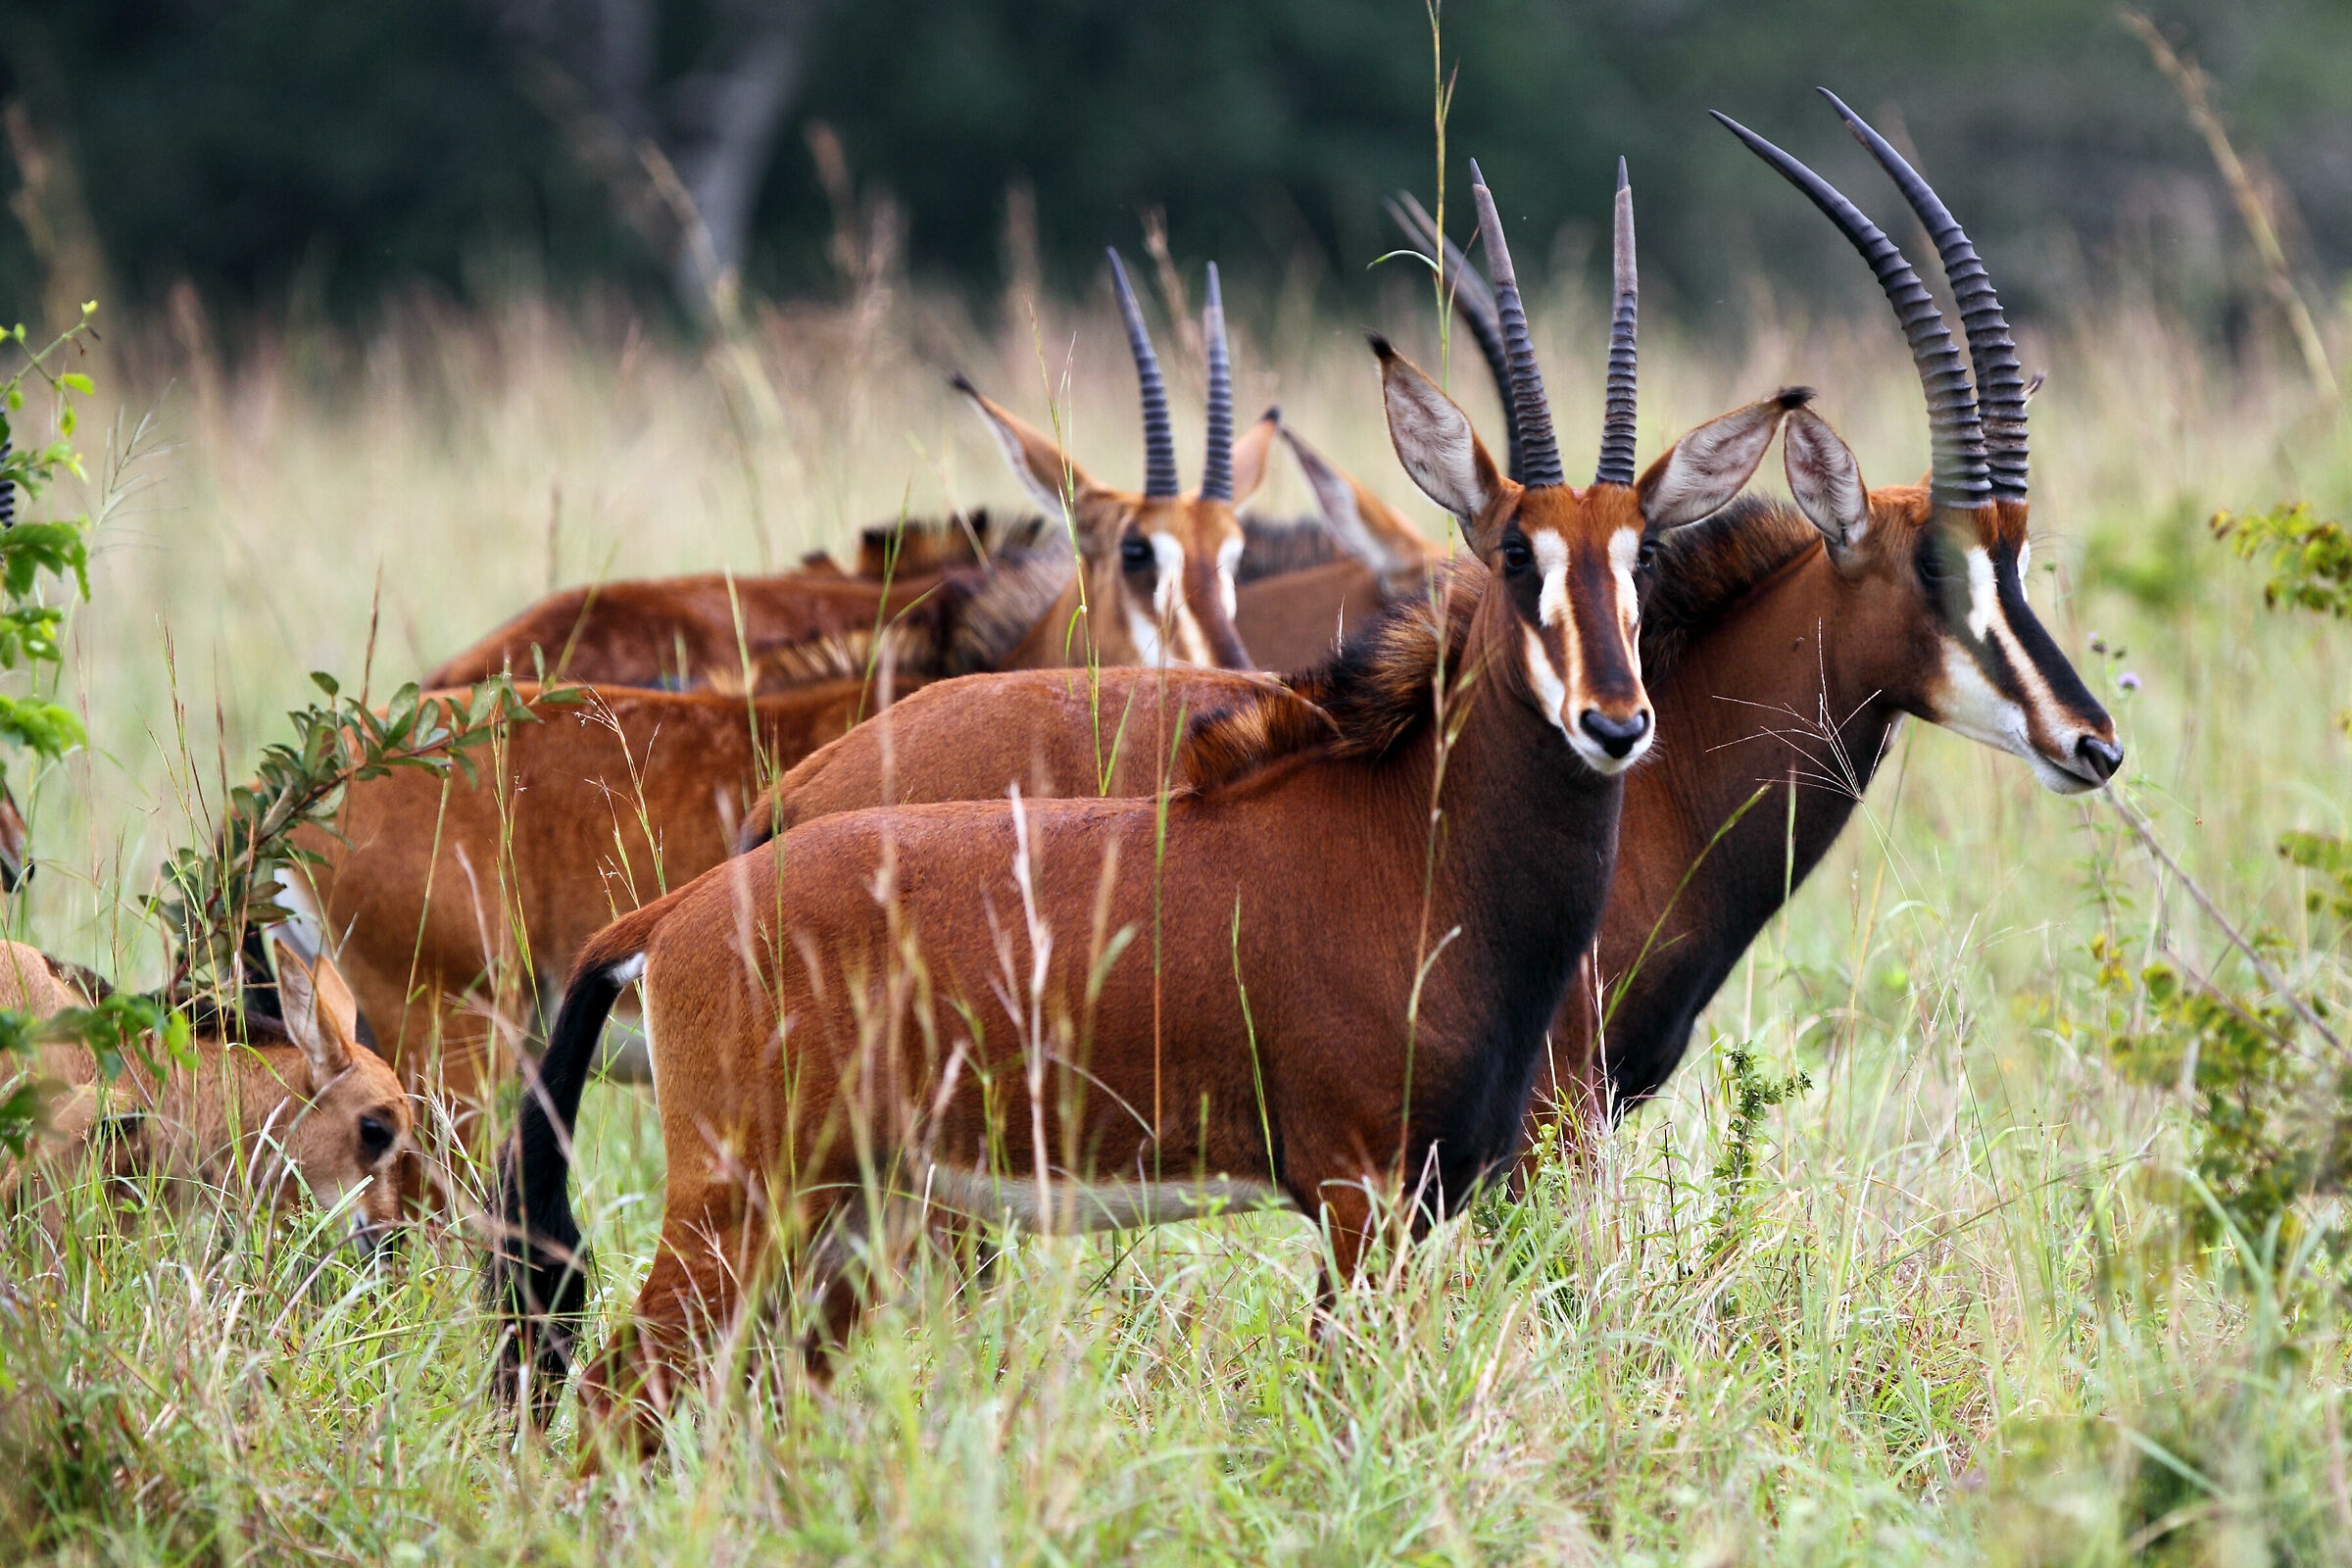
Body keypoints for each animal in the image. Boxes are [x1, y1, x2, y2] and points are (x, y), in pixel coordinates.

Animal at [489, 164, 1806, 1445]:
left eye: (1642, 555)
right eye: (1515, 551)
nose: (1615, 722)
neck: (1418, 841)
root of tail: (669, 921)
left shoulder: (1426, 1201)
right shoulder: (1359, 1198)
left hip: (838, 1214)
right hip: (744, 1204)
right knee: (613, 1403)